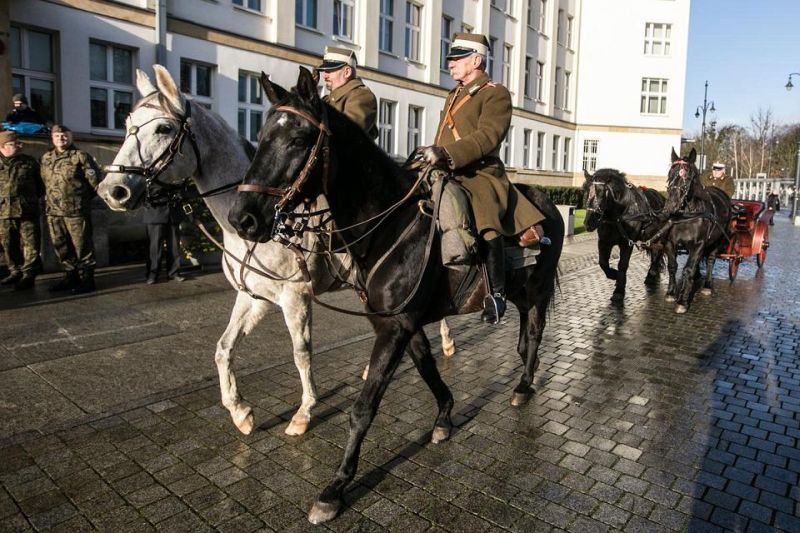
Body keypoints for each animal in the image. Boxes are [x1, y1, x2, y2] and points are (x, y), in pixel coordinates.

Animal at [97, 64, 454, 434]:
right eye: (127, 122)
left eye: (164, 127)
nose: (112, 189)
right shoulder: (254, 296)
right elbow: (223, 348)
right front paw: (240, 411)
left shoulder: (294, 297)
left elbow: (301, 352)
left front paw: (304, 412)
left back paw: (445, 342)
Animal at [225, 67, 564, 524]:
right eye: (261, 136)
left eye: (298, 139)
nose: (242, 218)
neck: (388, 224)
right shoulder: (400, 324)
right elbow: (427, 369)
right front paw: (444, 417)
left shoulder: (394, 329)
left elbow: (363, 408)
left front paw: (335, 488)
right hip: (522, 292)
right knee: (526, 338)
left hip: (539, 291)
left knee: (534, 335)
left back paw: (524, 386)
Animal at [584, 168, 664, 302]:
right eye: (585, 192)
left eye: (601, 193)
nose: (588, 222)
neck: (617, 216)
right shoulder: (604, 241)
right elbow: (603, 263)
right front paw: (615, 276)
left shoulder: (627, 243)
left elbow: (622, 265)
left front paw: (619, 290)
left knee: (657, 253)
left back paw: (652, 273)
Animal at [660, 147, 728, 312]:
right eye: (670, 174)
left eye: (687, 176)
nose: (670, 206)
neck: (687, 215)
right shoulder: (670, 242)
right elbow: (673, 266)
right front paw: (671, 293)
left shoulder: (698, 244)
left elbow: (688, 269)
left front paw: (683, 301)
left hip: (717, 241)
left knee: (710, 260)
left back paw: (707, 285)